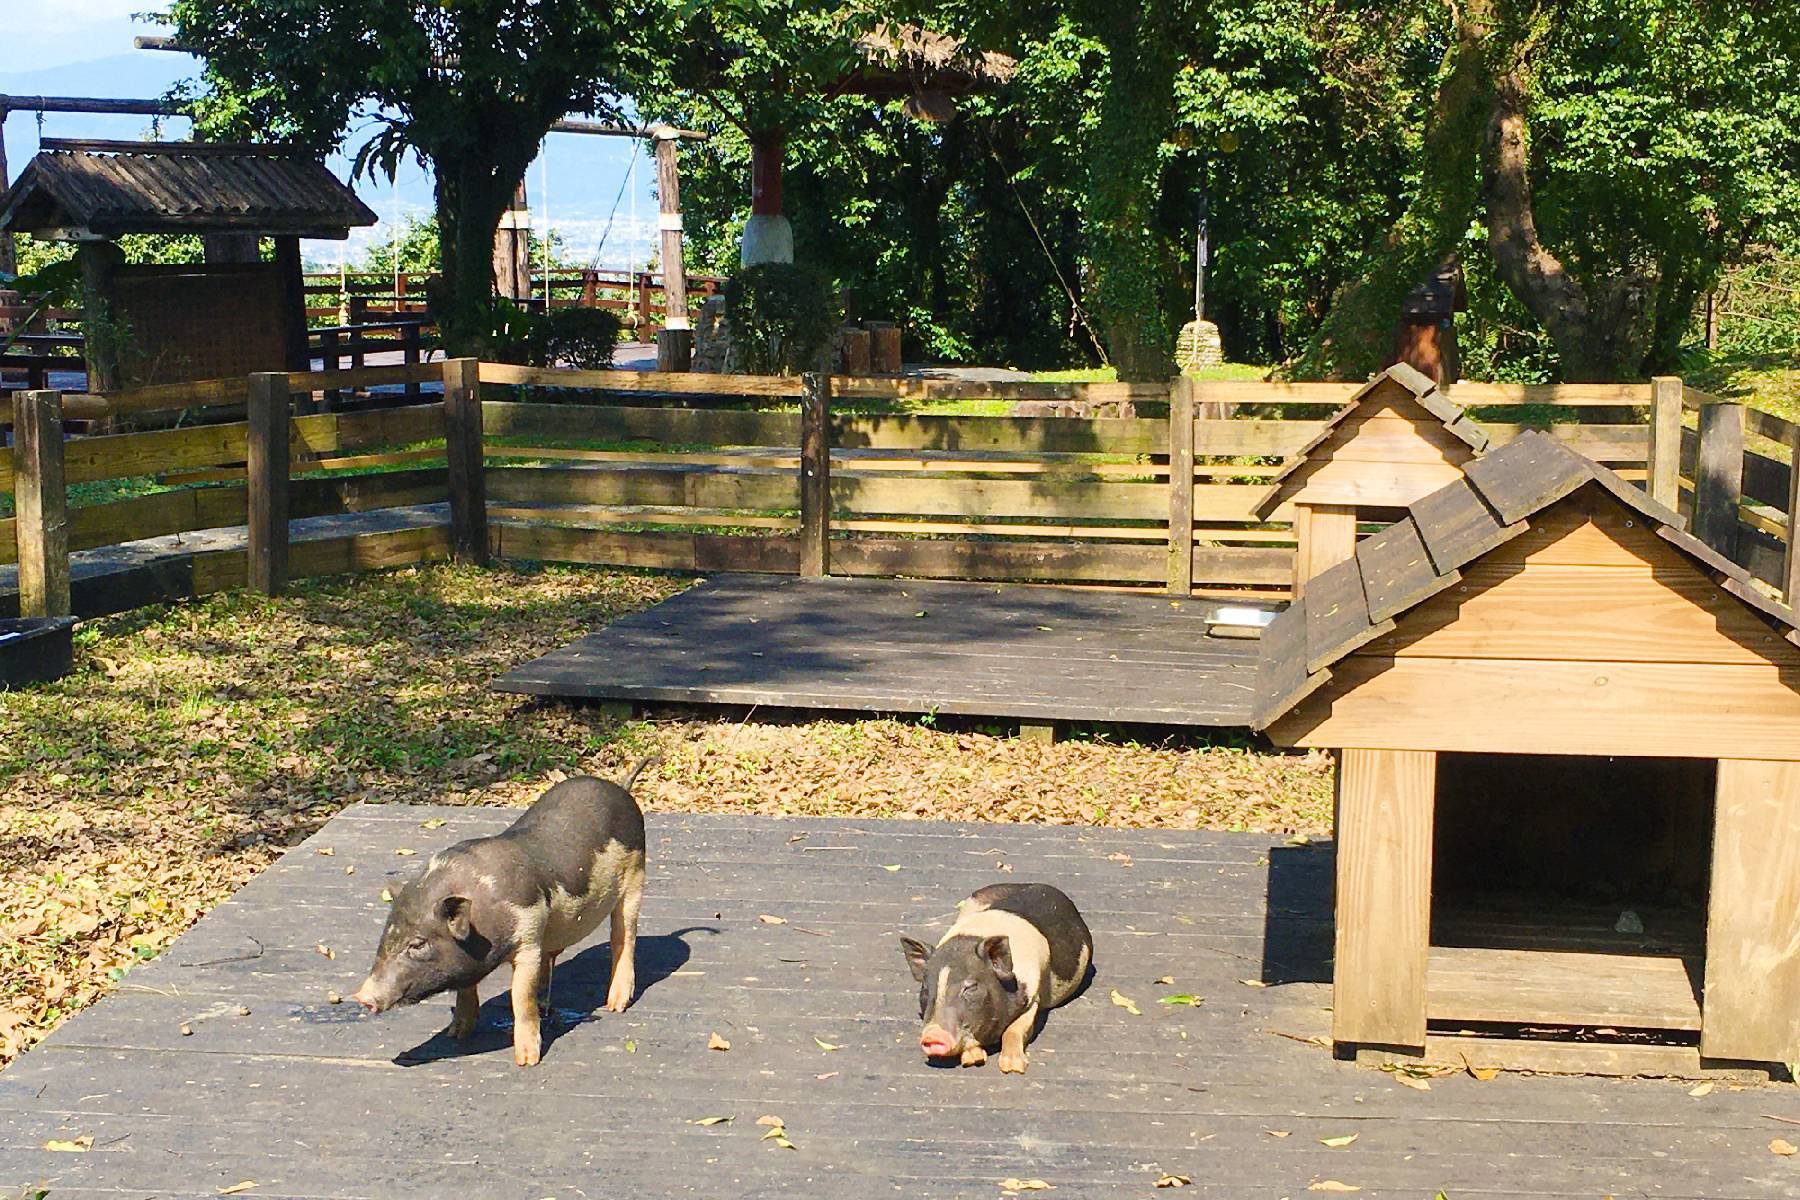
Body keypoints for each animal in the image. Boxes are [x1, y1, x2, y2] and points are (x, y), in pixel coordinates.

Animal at [349, 759, 655, 1072]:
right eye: (386, 934)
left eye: (418, 944)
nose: (362, 996)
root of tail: (621, 787)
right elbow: (466, 990)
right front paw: (455, 1034)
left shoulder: (528, 936)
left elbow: (520, 997)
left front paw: (527, 1061)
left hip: (636, 876)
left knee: (624, 937)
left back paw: (616, 1004)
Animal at [896, 881, 1087, 1079]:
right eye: (925, 988)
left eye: (970, 987)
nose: (932, 1035)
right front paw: (972, 1060)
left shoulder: (1034, 996)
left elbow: (1015, 1029)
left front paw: (1012, 1068)